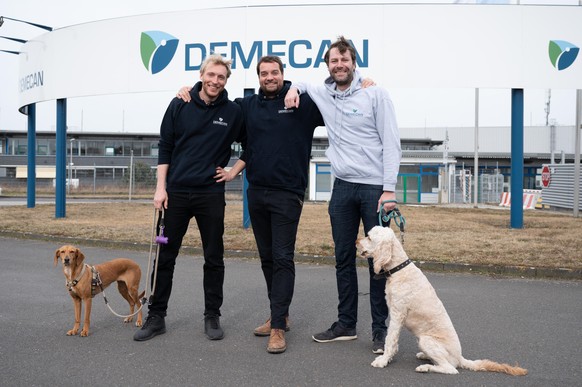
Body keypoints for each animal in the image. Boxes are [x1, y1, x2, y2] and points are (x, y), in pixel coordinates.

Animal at [356, 226, 528, 378]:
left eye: (369, 237)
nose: (356, 242)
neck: (399, 269)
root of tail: (460, 358)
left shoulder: (397, 314)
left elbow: (390, 340)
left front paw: (383, 360)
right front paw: (387, 358)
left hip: (426, 340)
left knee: (450, 369)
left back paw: (425, 367)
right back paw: (424, 357)